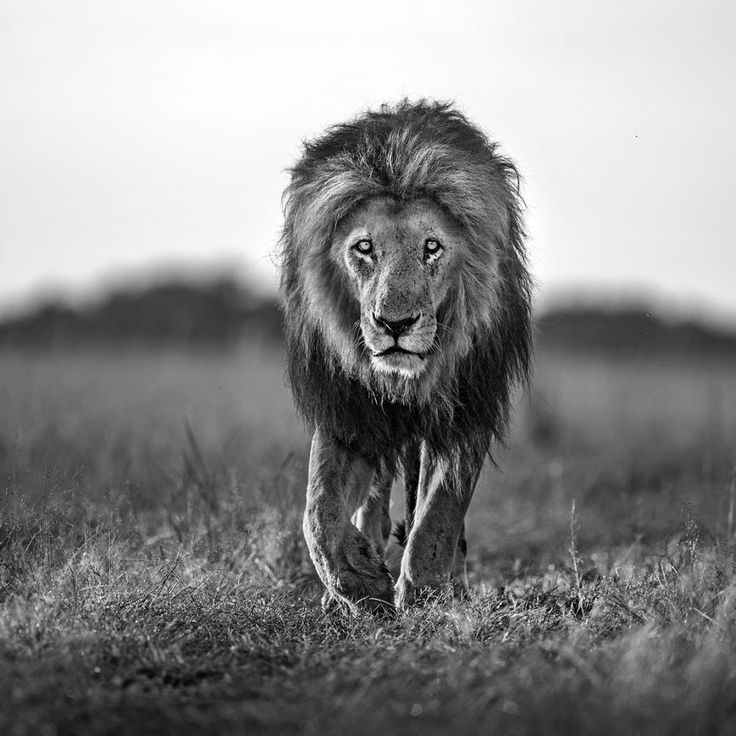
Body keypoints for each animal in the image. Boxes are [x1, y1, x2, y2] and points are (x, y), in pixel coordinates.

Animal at [279, 100, 532, 611]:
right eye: (364, 247)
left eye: (431, 247)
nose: (395, 325)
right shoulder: (349, 408)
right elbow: (319, 508)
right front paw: (355, 579)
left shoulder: (466, 406)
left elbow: (439, 512)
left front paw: (425, 592)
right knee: (373, 495)